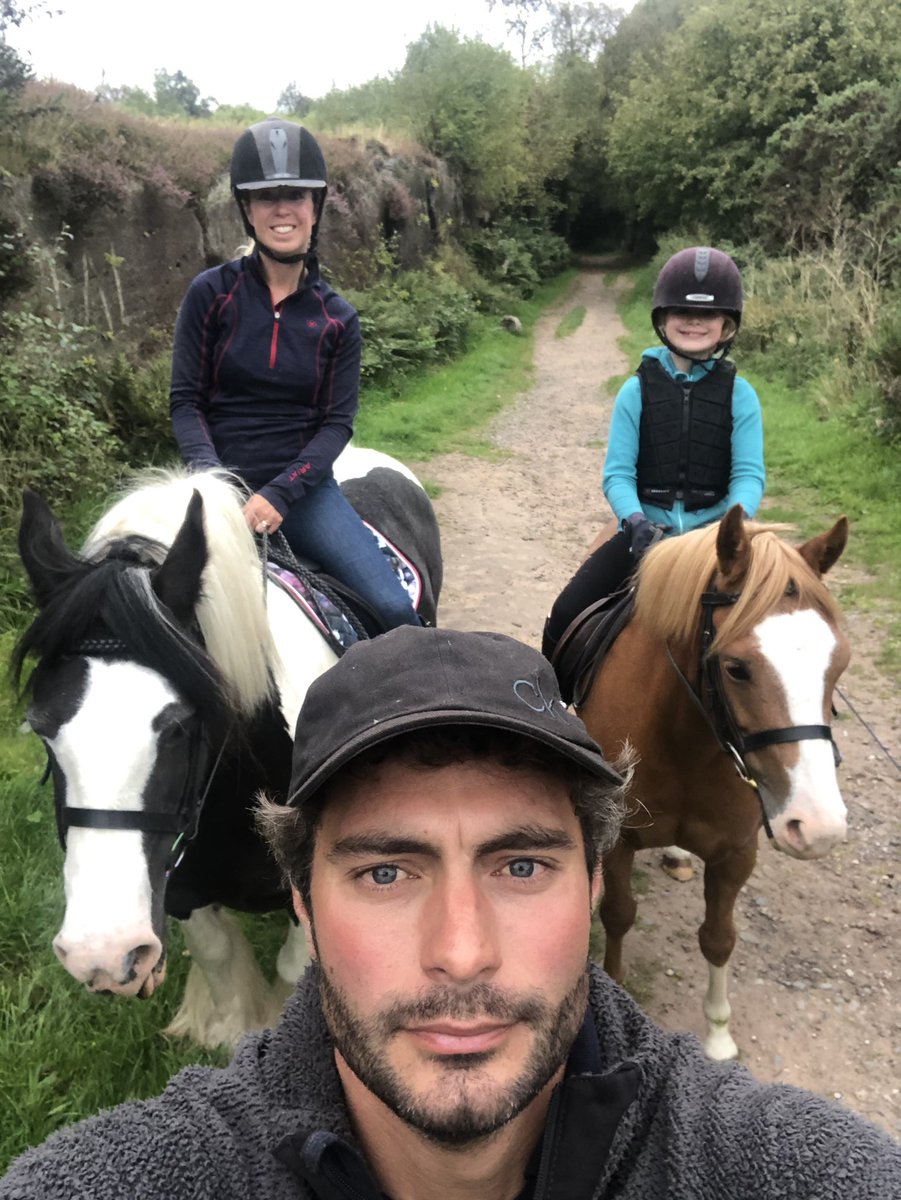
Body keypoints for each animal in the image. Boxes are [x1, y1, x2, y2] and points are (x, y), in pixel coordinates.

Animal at [14, 446, 443, 1046]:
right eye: (42, 727)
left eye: (179, 726)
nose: (100, 953)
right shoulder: (183, 882)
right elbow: (218, 958)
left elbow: (294, 967)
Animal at [580, 506, 849, 1060]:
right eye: (736, 668)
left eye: (840, 664)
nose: (819, 827)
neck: (689, 741)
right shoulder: (618, 841)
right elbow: (618, 914)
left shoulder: (736, 852)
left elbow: (719, 937)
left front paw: (720, 1036)